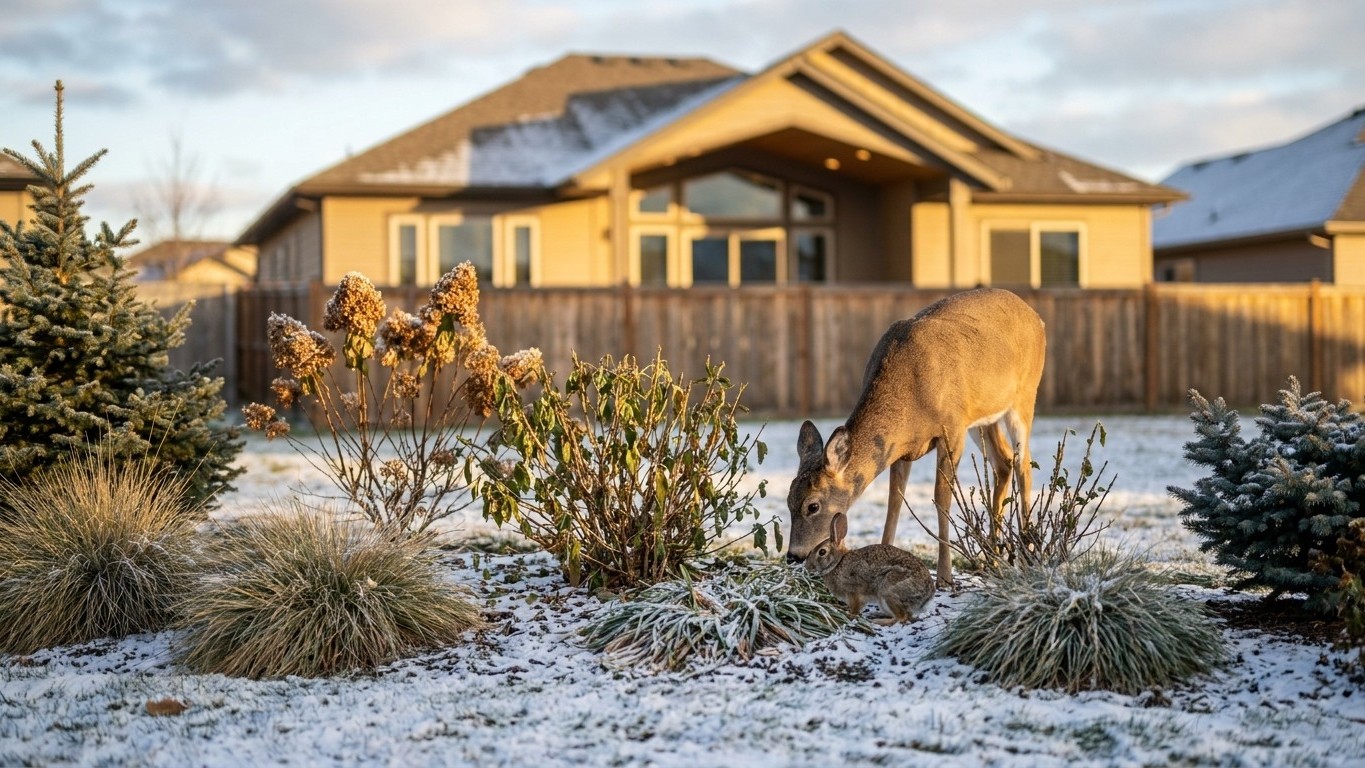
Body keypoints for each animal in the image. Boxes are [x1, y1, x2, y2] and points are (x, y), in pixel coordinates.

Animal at [784, 287, 1046, 588]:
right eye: (788, 501)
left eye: (813, 505)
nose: (793, 555)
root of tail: (1036, 317)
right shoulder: (900, 449)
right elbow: (894, 502)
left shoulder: (952, 429)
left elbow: (942, 498)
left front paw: (945, 577)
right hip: (984, 416)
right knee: (1003, 463)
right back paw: (992, 558)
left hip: (1024, 395)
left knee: (1023, 464)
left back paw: (1027, 554)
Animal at [803, 513, 934, 624]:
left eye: (822, 552)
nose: (807, 566)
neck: (838, 562)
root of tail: (927, 596)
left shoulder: (854, 592)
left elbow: (855, 608)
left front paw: (850, 614)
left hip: (888, 591)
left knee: (902, 617)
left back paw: (879, 621)